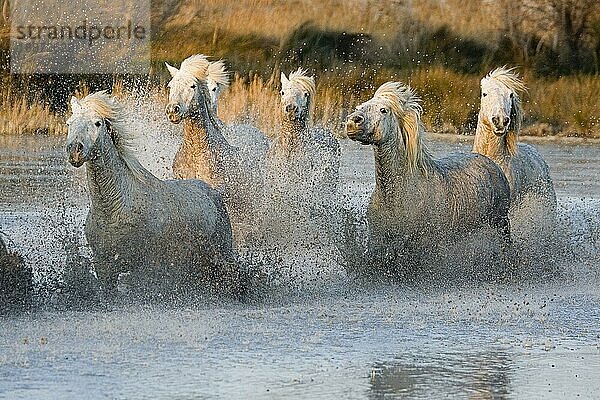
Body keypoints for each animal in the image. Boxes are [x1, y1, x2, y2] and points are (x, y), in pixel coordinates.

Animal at [67, 90, 241, 296]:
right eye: (69, 123)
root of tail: (211, 191)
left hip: (223, 253)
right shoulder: (104, 267)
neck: (115, 209)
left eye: (97, 123)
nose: (75, 151)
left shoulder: (146, 267)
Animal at [346, 83, 510, 280]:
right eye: (360, 106)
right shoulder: (379, 241)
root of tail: (489, 161)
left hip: (500, 221)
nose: (352, 122)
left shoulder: (421, 245)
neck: (398, 195)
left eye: (383, 110)